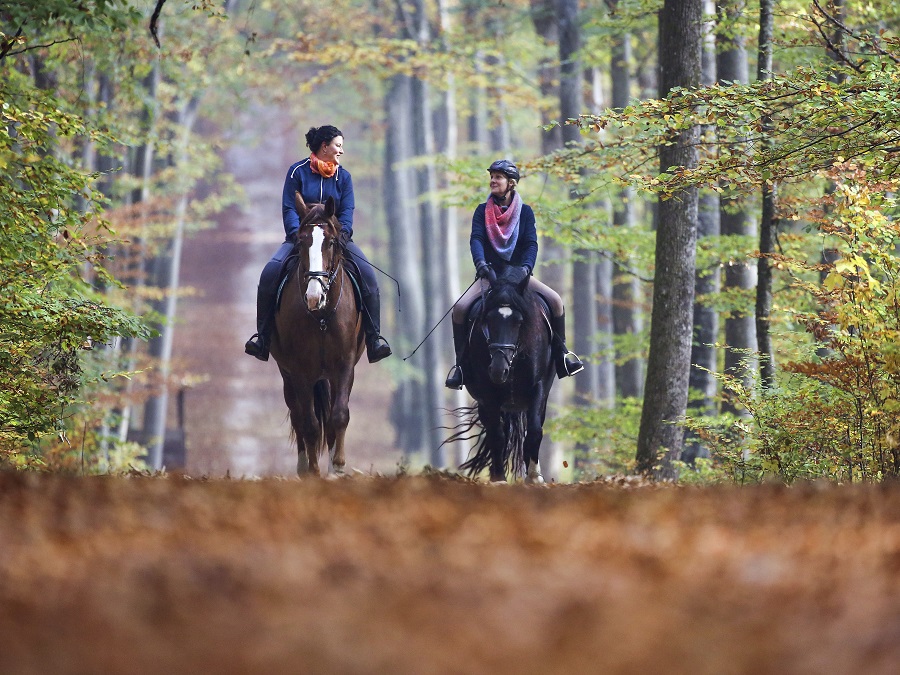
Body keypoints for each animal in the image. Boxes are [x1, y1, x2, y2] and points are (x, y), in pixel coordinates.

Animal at [268, 191, 364, 476]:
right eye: (301, 241)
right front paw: (313, 472)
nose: (314, 296)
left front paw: (338, 467)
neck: (321, 316)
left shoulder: (344, 366)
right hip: (288, 375)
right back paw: (303, 468)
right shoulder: (299, 370)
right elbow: (309, 423)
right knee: (298, 415)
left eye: (331, 242)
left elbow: (339, 415)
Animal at [450, 266, 556, 484]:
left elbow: (534, 430)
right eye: (488, 320)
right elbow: (497, 435)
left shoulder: (539, 387)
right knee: (495, 432)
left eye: (519, 322)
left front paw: (534, 477)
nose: (499, 370)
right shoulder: (487, 392)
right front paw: (498, 477)